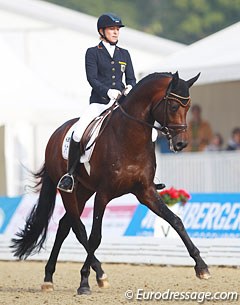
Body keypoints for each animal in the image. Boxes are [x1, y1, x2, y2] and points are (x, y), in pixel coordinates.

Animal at [10, 71, 210, 294]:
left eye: (189, 107)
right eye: (174, 107)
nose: (181, 143)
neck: (130, 137)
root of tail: (56, 134)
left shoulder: (145, 191)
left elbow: (176, 220)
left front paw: (201, 267)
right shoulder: (103, 194)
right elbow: (95, 236)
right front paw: (83, 282)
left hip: (83, 191)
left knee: (64, 226)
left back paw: (60, 276)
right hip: (69, 191)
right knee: (78, 228)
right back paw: (86, 275)